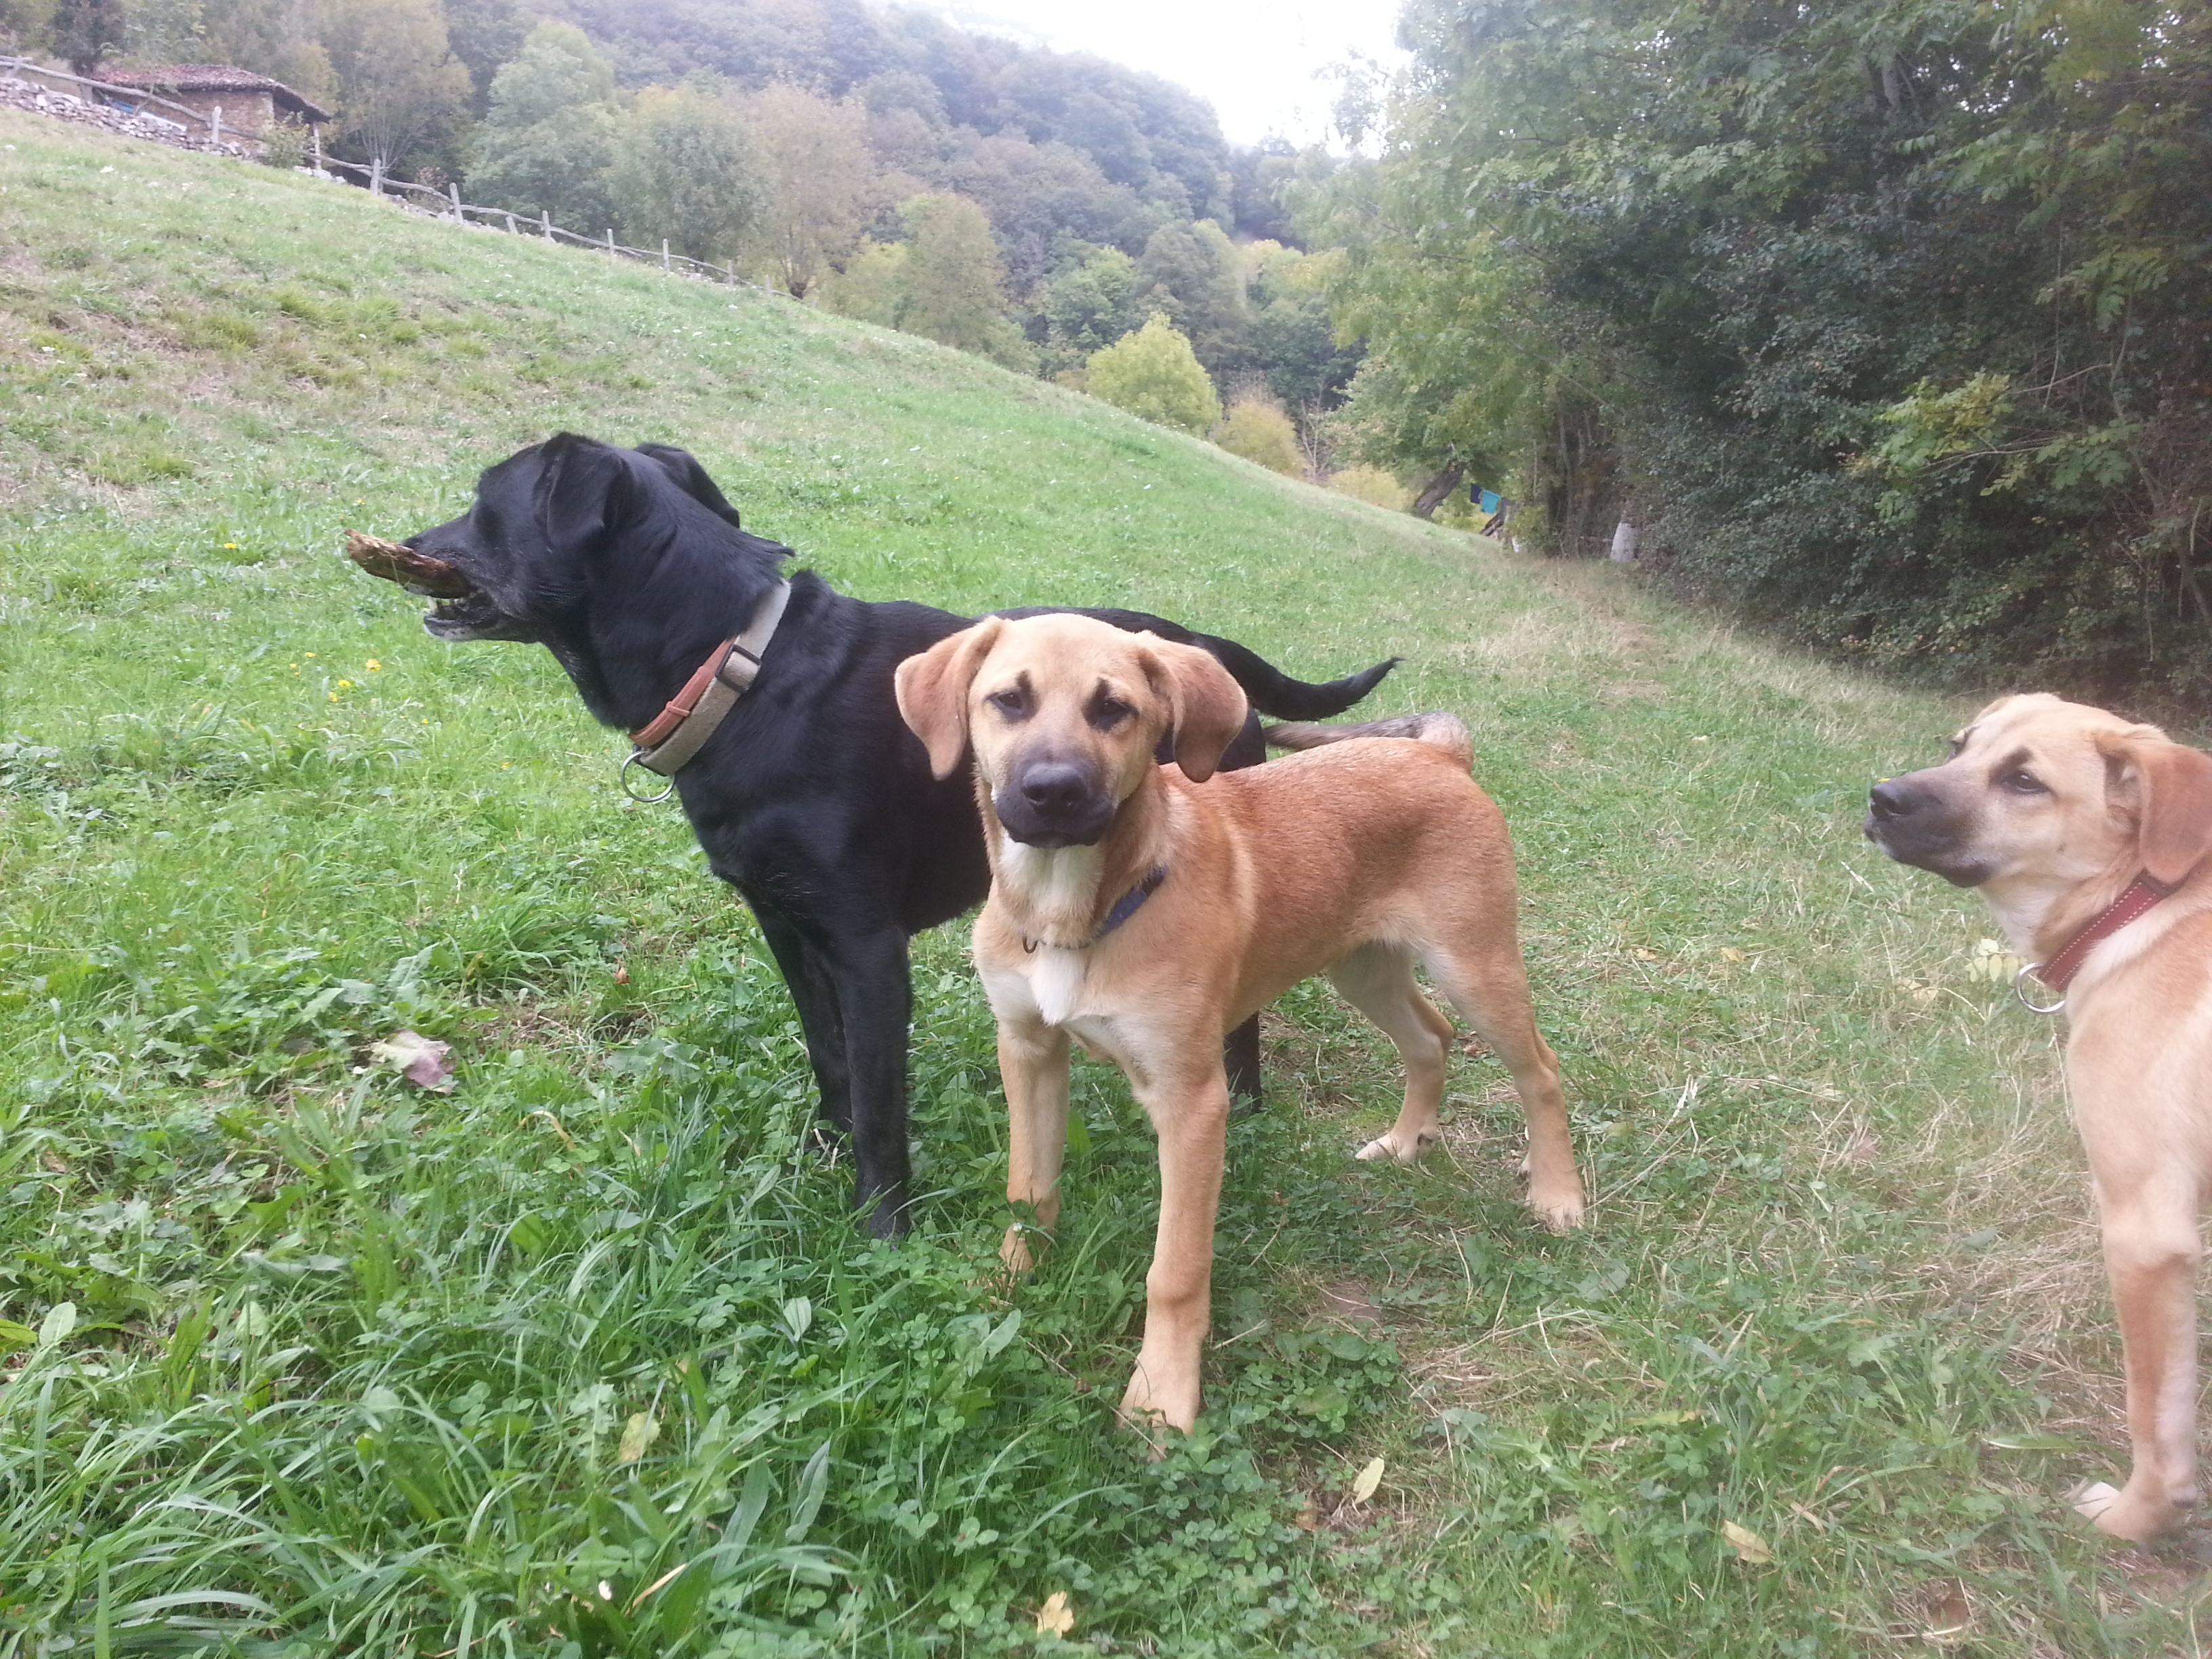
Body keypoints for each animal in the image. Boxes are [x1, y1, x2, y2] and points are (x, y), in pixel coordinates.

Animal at [350, 434, 1394, 1238]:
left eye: (485, 503)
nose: (408, 544)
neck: (742, 671)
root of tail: (1211, 652)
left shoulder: (866, 947)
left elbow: (884, 1104)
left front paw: (883, 1225)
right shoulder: (786, 926)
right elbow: (832, 1058)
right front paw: (824, 1142)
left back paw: (1246, 1101)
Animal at [895, 613, 1585, 1438]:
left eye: (1114, 710)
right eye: (1008, 700)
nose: (1053, 793)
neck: (1078, 911)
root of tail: (1438, 753)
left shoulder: (1192, 1101)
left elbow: (1175, 1269)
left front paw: (1163, 1393)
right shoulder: (1028, 1050)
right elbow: (1028, 1193)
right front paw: (1008, 1285)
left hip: (1474, 963)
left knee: (1539, 1069)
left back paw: (1558, 1195)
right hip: (1362, 965)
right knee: (1430, 1038)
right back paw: (1405, 1140)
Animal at [1866, 692, 2212, 1541]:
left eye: (2025, 781)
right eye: (1957, 746)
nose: (1881, 798)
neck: (2140, 905)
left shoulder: (2146, 1233)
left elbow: (2156, 1416)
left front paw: (2135, 1520)